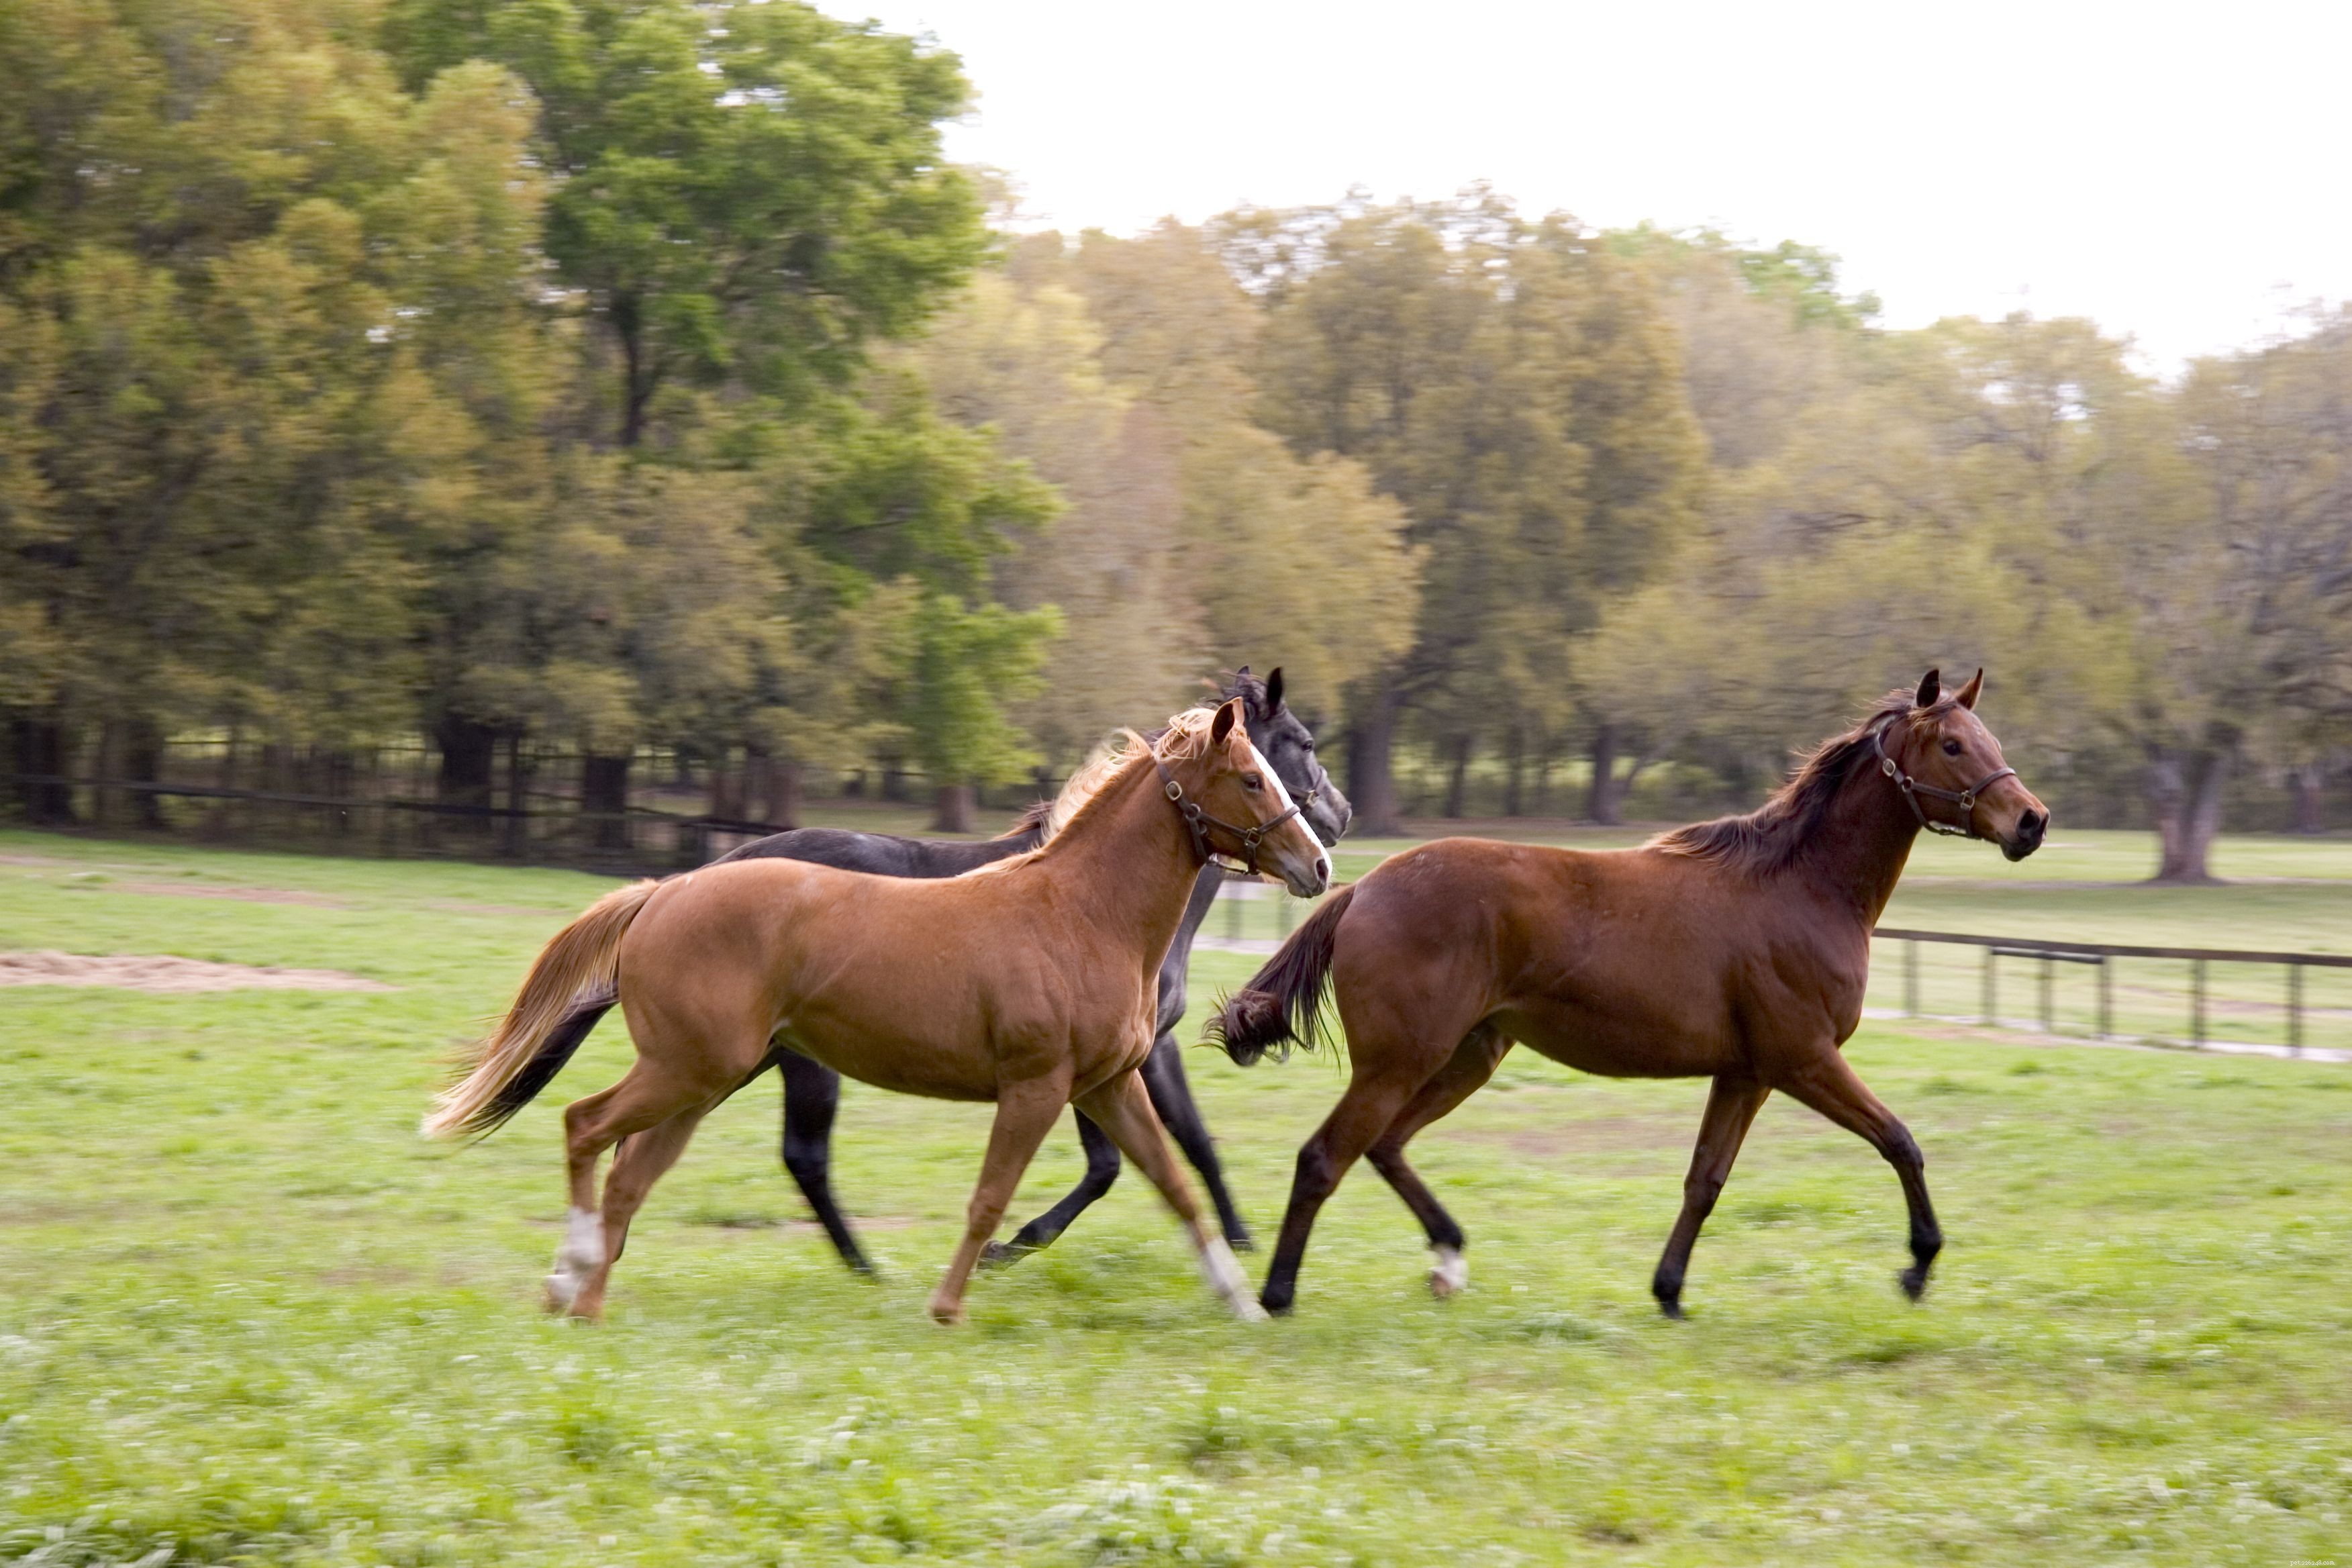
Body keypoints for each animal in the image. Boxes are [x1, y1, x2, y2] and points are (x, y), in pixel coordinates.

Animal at [426, 698, 1331, 1324]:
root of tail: (665, 892)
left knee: (630, 1173)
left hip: (703, 1080)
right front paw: (949, 1302)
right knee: (588, 1127)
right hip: (691, 1069)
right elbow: (992, 1197)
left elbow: (1174, 1180)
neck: (1082, 913)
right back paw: (574, 1276)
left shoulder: (1110, 1083)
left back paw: (582, 1291)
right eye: (1256, 775)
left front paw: (1240, 1299)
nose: (1320, 859)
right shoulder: (1037, 1085)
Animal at [1210, 669, 2048, 1318]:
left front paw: (1669, 1289)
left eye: (1990, 738)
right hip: (1399, 1060)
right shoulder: (1803, 1059)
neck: (1804, 886)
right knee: (1325, 1156)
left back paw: (1447, 1257)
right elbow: (1900, 1140)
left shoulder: (1746, 1073)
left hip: (1467, 1054)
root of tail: (1361, 888)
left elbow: (1705, 1180)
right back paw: (1278, 1292)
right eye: (1952, 744)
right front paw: (1918, 1264)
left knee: (1383, 1145)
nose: (2032, 821)